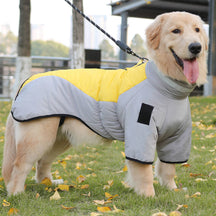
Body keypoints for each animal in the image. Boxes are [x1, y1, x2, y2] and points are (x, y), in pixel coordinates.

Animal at [2, 12, 208, 197]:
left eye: (197, 30)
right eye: (176, 31)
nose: (196, 47)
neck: (165, 85)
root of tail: (26, 81)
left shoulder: (176, 137)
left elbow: (168, 168)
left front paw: (172, 189)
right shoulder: (141, 133)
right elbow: (144, 172)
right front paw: (149, 195)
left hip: (59, 137)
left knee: (42, 161)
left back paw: (49, 183)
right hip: (38, 136)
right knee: (20, 164)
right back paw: (16, 192)